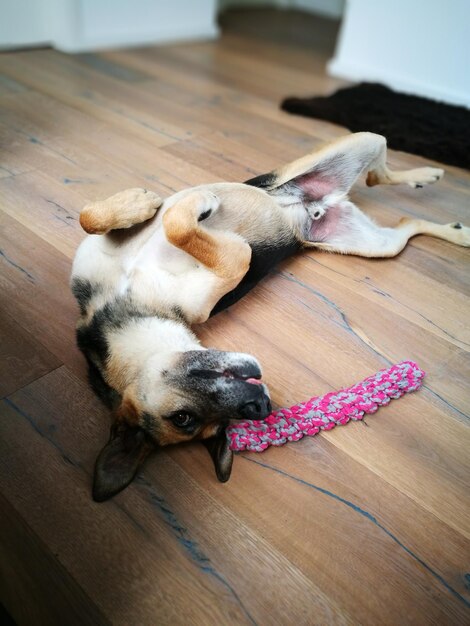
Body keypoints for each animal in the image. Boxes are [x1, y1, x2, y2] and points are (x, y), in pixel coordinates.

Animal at [71, 129, 468, 500]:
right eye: (187, 420)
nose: (261, 406)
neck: (118, 308)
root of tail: (314, 209)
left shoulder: (98, 251)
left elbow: (96, 217)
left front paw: (145, 202)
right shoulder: (219, 281)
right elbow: (190, 233)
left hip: (359, 144)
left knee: (380, 176)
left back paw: (429, 179)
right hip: (380, 246)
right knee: (404, 220)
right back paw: (457, 228)